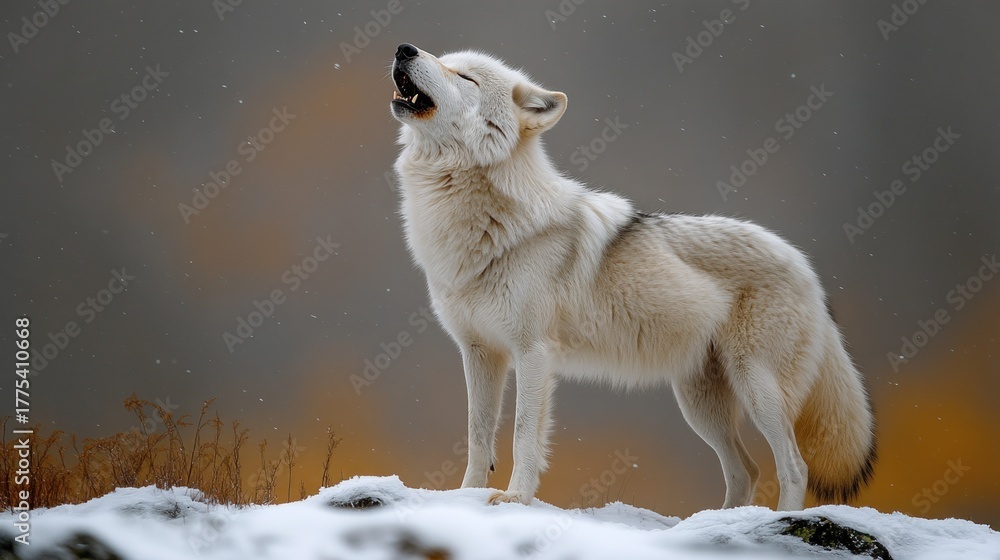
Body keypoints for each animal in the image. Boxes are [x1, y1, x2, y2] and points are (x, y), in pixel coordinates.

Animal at [388, 43, 876, 510]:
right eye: (442, 59)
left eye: (465, 76)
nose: (404, 49)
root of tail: (807, 268)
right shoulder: (479, 352)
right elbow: (477, 436)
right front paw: (464, 497)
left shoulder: (533, 353)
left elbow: (523, 434)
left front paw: (514, 498)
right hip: (700, 405)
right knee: (747, 470)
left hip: (756, 388)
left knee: (794, 466)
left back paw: (780, 519)